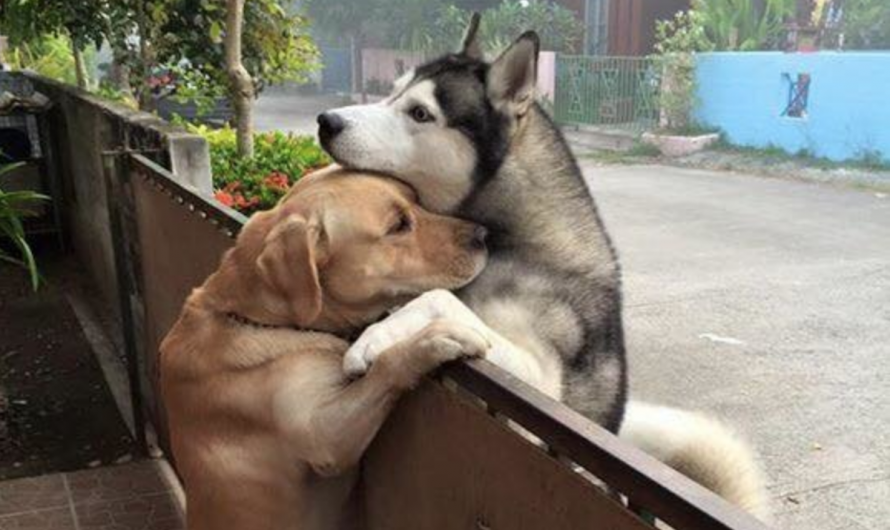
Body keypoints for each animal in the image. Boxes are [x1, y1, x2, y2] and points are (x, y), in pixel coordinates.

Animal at [163, 166, 490, 528]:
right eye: (398, 225)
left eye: (416, 199)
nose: (484, 235)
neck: (254, 316)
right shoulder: (324, 436)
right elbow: (387, 365)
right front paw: (435, 338)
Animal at [320, 15, 624, 428]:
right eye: (393, 92)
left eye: (420, 113)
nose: (325, 121)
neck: (517, 243)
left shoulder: (539, 380)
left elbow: (439, 296)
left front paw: (374, 337)